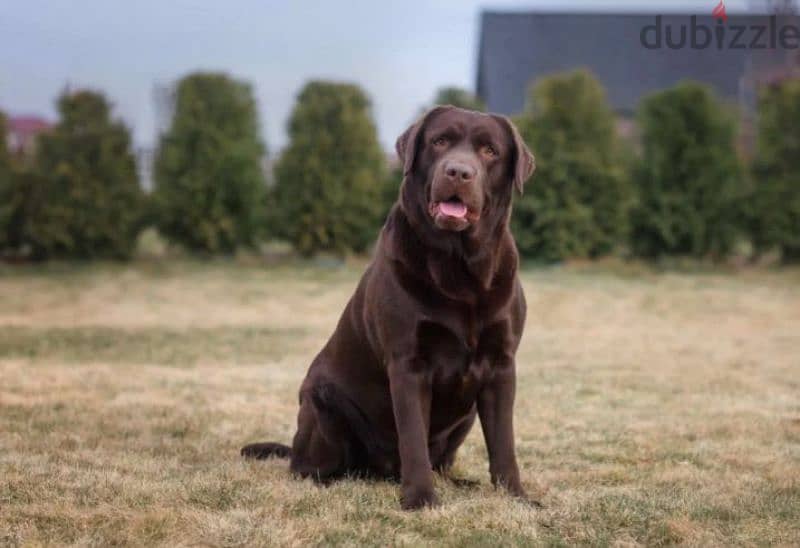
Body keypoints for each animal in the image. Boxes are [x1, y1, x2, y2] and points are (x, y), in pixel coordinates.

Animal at [241, 104, 536, 510]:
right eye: (439, 141)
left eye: (490, 151)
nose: (458, 172)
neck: (458, 265)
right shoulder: (407, 363)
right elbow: (412, 437)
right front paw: (420, 499)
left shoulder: (501, 365)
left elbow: (503, 442)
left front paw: (516, 497)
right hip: (322, 403)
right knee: (308, 466)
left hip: (464, 417)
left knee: (442, 462)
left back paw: (461, 482)